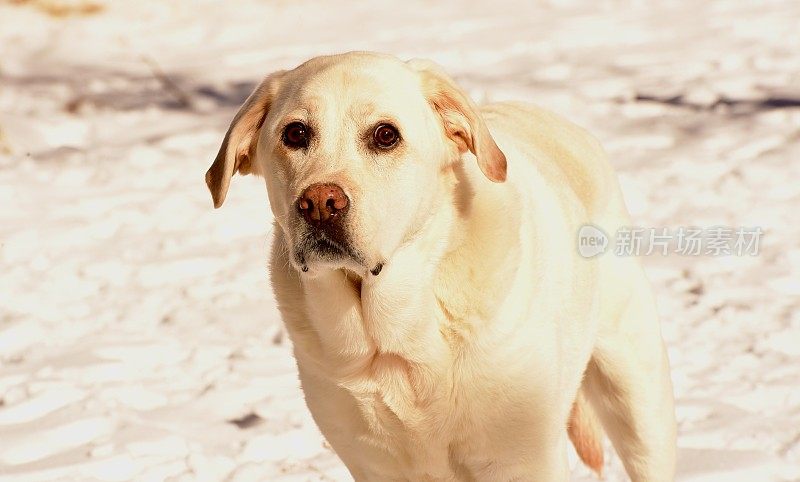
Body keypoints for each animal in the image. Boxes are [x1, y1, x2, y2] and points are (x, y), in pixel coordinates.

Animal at [205, 50, 676, 480]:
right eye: (296, 133)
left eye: (385, 135)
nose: (320, 203)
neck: (395, 338)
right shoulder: (373, 467)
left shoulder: (522, 459)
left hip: (635, 395)